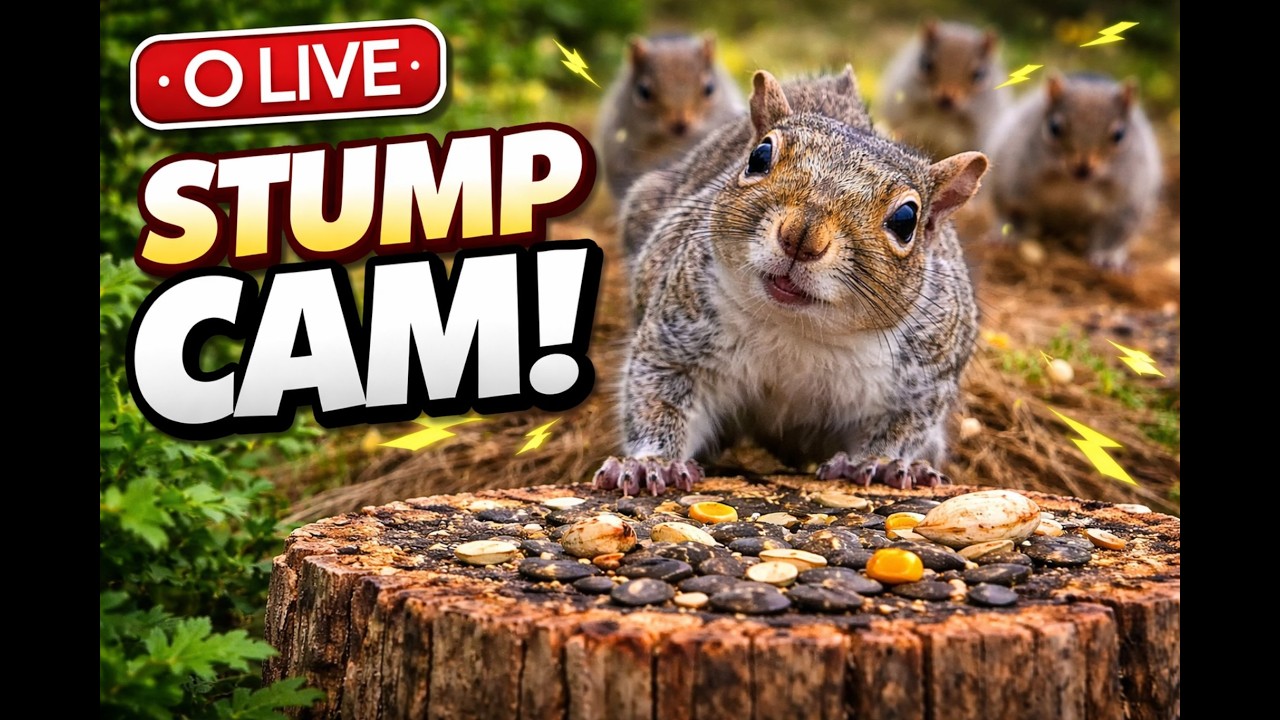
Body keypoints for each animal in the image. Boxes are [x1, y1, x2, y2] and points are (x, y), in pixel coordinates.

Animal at [593, 67, 988, 495]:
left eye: (906, 221)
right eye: (759, 157)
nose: (802, 235)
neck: (798, 327)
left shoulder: (922, 381)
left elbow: (902, 427)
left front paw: (884, 462)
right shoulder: (678, 339)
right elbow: (657, 399)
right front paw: (652, 463)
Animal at [985, 72, 1162, 270]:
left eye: (1119, 135)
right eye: (1054, 127)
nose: (1083, 167)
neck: (1074, 183)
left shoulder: (1126, 203)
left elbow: (1113, 233)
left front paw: (1108, 256)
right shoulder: (1014, 183)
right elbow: (1014, 213)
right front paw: (1007, 237)